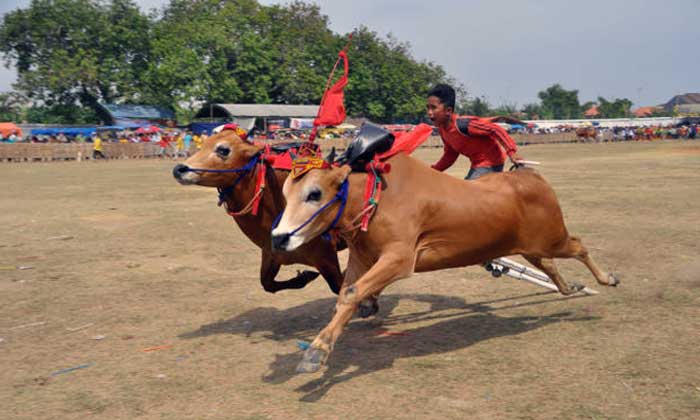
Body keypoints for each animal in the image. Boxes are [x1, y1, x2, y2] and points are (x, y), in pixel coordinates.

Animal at [171, 130, 344, 296]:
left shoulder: (326, 257)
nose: (178, 169)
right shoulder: (271, 255)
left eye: (223, 149)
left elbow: (341, 287)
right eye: (203, 144)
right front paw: (304, 277)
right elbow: (267, 284)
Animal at [270, 153, 620, 372]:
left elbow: (353, 293)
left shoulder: (400, 259)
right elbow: (348, 294)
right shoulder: (361, 257)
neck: (375, 198)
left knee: (579, 246)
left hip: (553, 238)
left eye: (314, 193)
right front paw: (321, 347)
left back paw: (606, 280)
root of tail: (532, 177)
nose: (279, 237)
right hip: (531, 247)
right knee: (550, 266)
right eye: (286, 192)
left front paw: (316, 351)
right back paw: (570, 287)